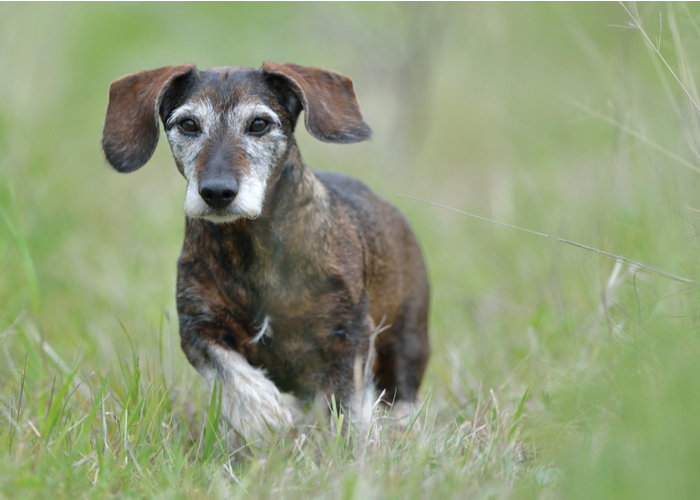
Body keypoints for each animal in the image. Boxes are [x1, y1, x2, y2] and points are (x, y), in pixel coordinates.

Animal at [102, 61, 432, 438]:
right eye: (188, 124)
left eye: (259, 123)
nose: (217, 192)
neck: (253, 246)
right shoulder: (198, 327)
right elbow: (230, 373)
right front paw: (266, 416)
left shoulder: (349, 334)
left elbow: (348, 405)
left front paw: (353, 445)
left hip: (406, 339)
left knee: (401, 394)